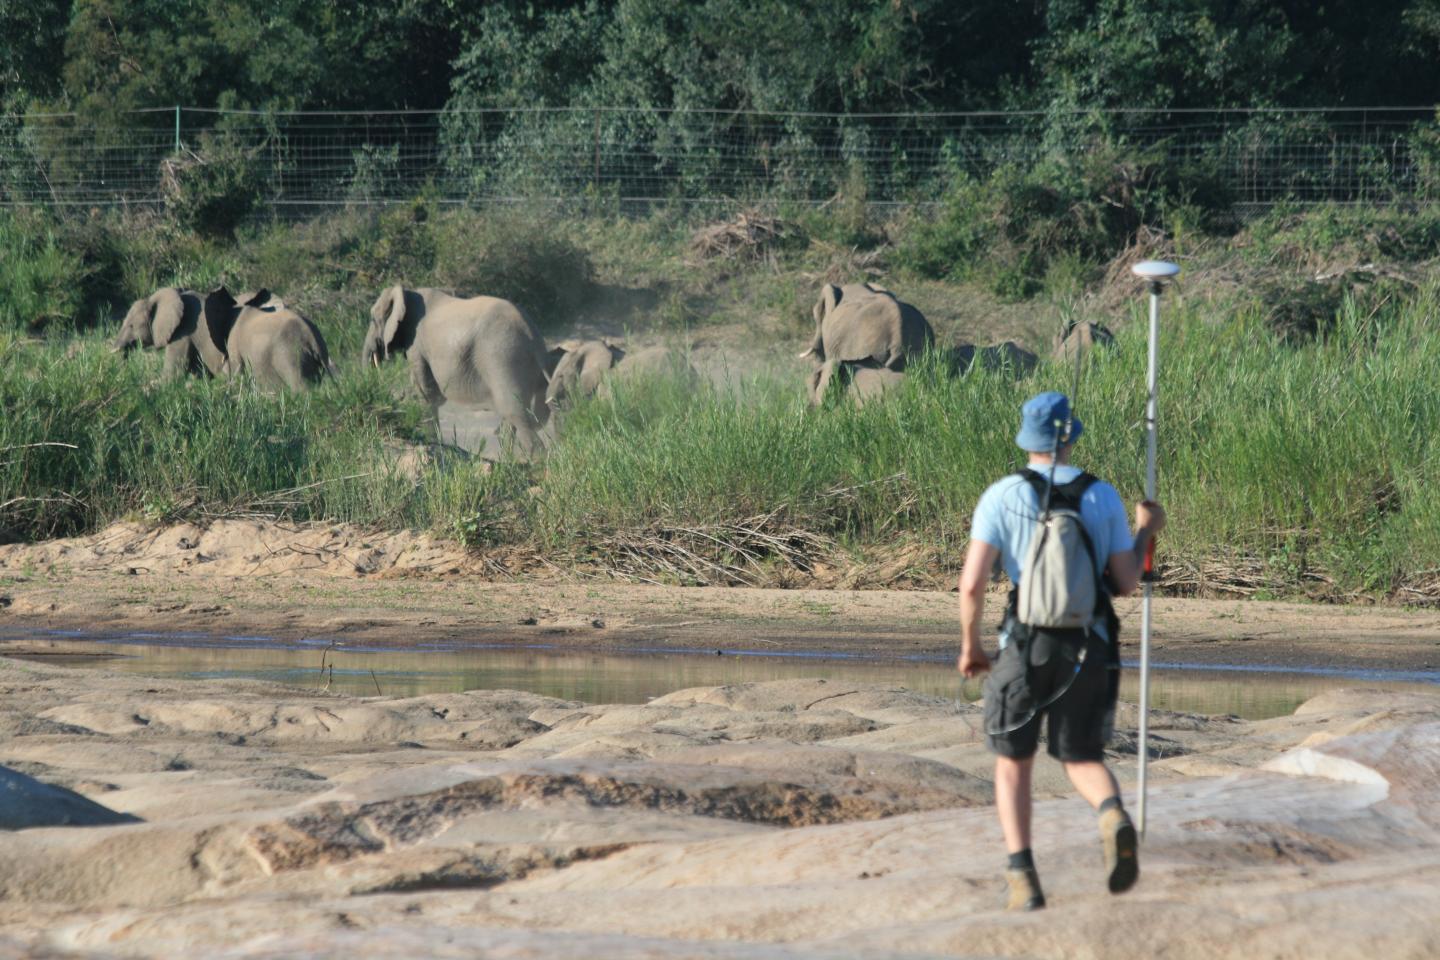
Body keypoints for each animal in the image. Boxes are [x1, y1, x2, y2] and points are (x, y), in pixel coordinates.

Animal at [365, 284, 550, 457]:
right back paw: (509, 459)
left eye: (373, 319)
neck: (406, 292)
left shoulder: (416, 344)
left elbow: (426, 394)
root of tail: (532, 336)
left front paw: (433, 442)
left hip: (503, 356)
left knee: (515, 412)